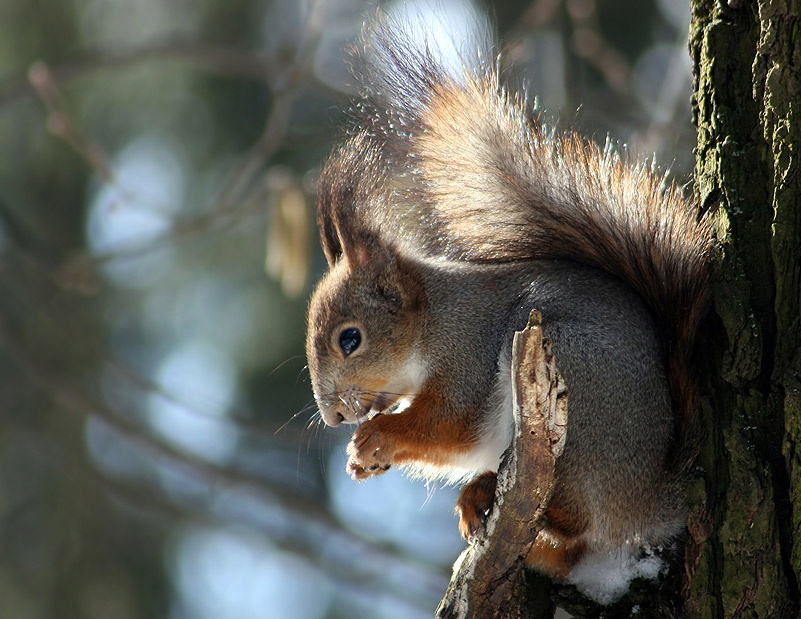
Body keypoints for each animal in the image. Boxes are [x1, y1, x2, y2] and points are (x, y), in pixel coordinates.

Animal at [305, 10, 711, 602]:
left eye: (349, 339)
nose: (334, 416)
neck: (432, 320)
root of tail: (649, 498)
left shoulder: (468, 355)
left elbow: (451, 425)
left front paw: (373, 440)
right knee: (574, 553)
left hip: (581, 398)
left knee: (577, 520)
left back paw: (490, 491)